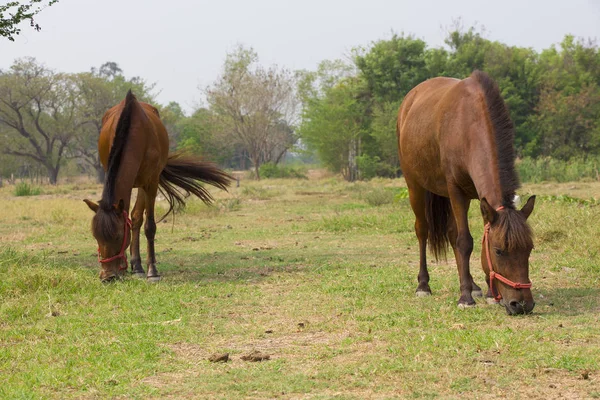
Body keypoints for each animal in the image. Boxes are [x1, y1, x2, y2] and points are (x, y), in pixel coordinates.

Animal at [84, 91, 232, 282]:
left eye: (117, 236)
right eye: (96, 236)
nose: (107, 276)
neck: (133, 131)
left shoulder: (151, 182)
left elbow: (149, 226)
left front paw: (152, 271)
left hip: (143, 183)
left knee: (137, 218)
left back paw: (138, 267)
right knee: (135, 217)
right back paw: (136, 265)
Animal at [398, 71, 536, 316]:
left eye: (529, 249)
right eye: (499, 251)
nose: (521, 305)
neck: (468, 127)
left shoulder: (481, 201)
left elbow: (474, 240)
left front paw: (489, 293)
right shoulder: (456, 192)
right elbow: (465, 241)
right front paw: (465, 298)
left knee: (451, 233)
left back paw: (473, 285)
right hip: (415, 186)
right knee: (422, 231)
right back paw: (423, 285)